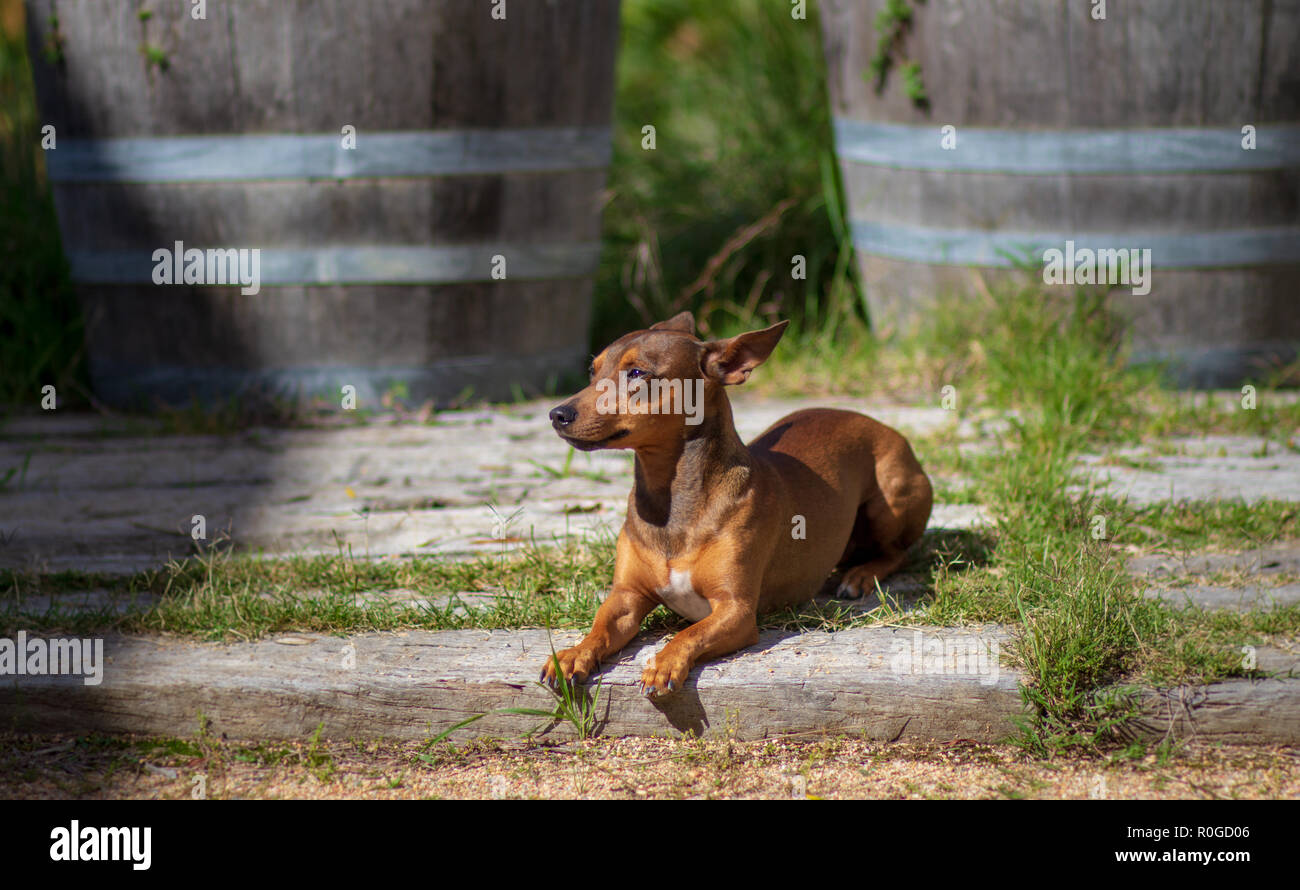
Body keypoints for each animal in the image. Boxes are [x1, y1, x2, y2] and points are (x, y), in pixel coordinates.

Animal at [543, 311, 930, 696]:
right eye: (592, 371)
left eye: (637, 373)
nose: (557, 414)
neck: (672, 502)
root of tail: (876, 423)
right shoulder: (626, 596)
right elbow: (600, 626)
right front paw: (572, 655)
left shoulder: (737, 611)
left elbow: (689, 633)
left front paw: (664, 662)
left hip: (890, 500)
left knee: (898, 552)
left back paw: (861, 576)